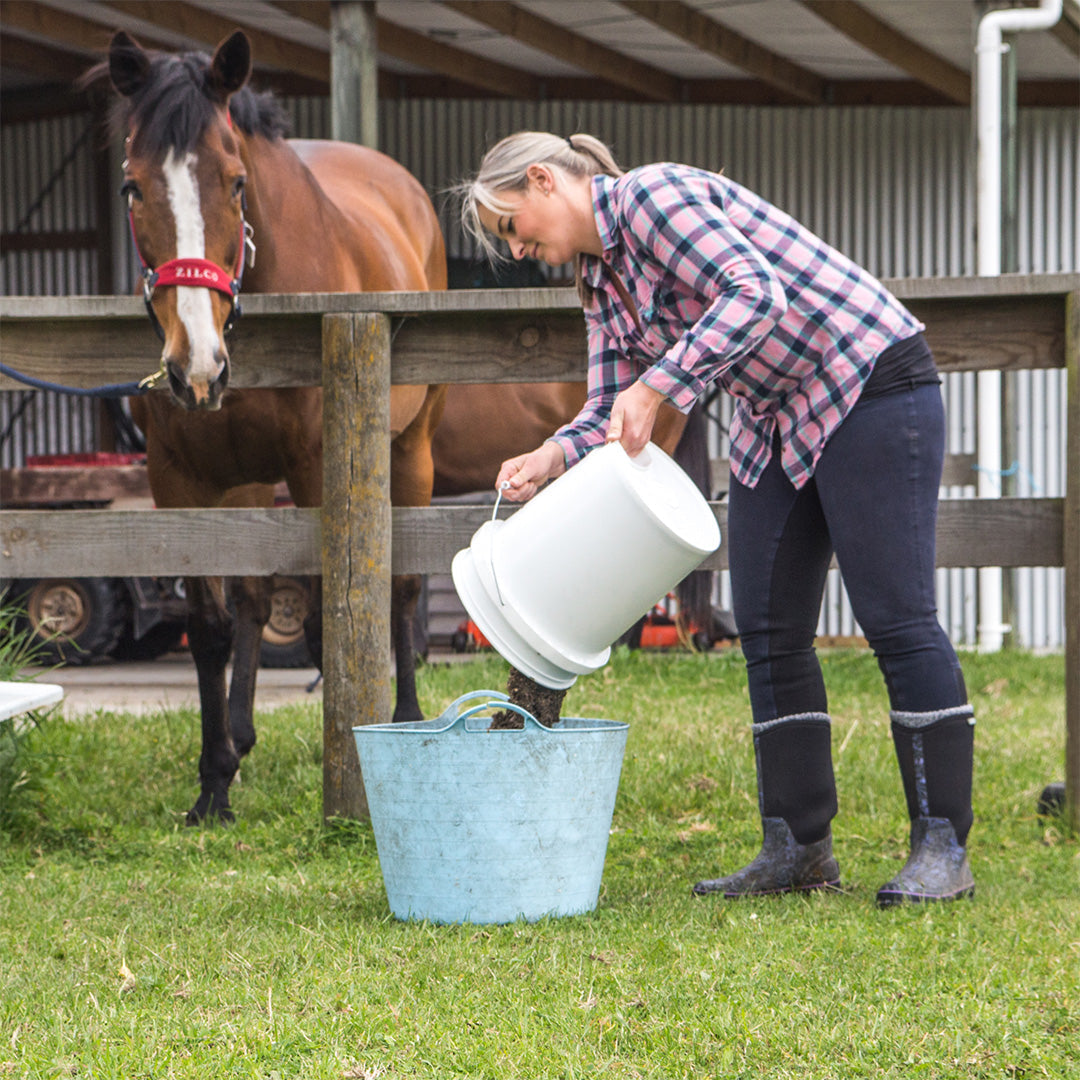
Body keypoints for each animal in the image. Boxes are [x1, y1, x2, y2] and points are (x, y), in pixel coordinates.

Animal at [95, 29, 444, 820]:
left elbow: (329, 620)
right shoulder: (181, 480)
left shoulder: (317, 467)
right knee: (253, 603)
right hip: (244, 480)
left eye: (235, 183)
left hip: (410, 448)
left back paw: (407, 716)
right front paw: (213, 781)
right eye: (133, 187)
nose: (197, 367)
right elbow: (212, 627)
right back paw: (242, 737)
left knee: (404, 588)